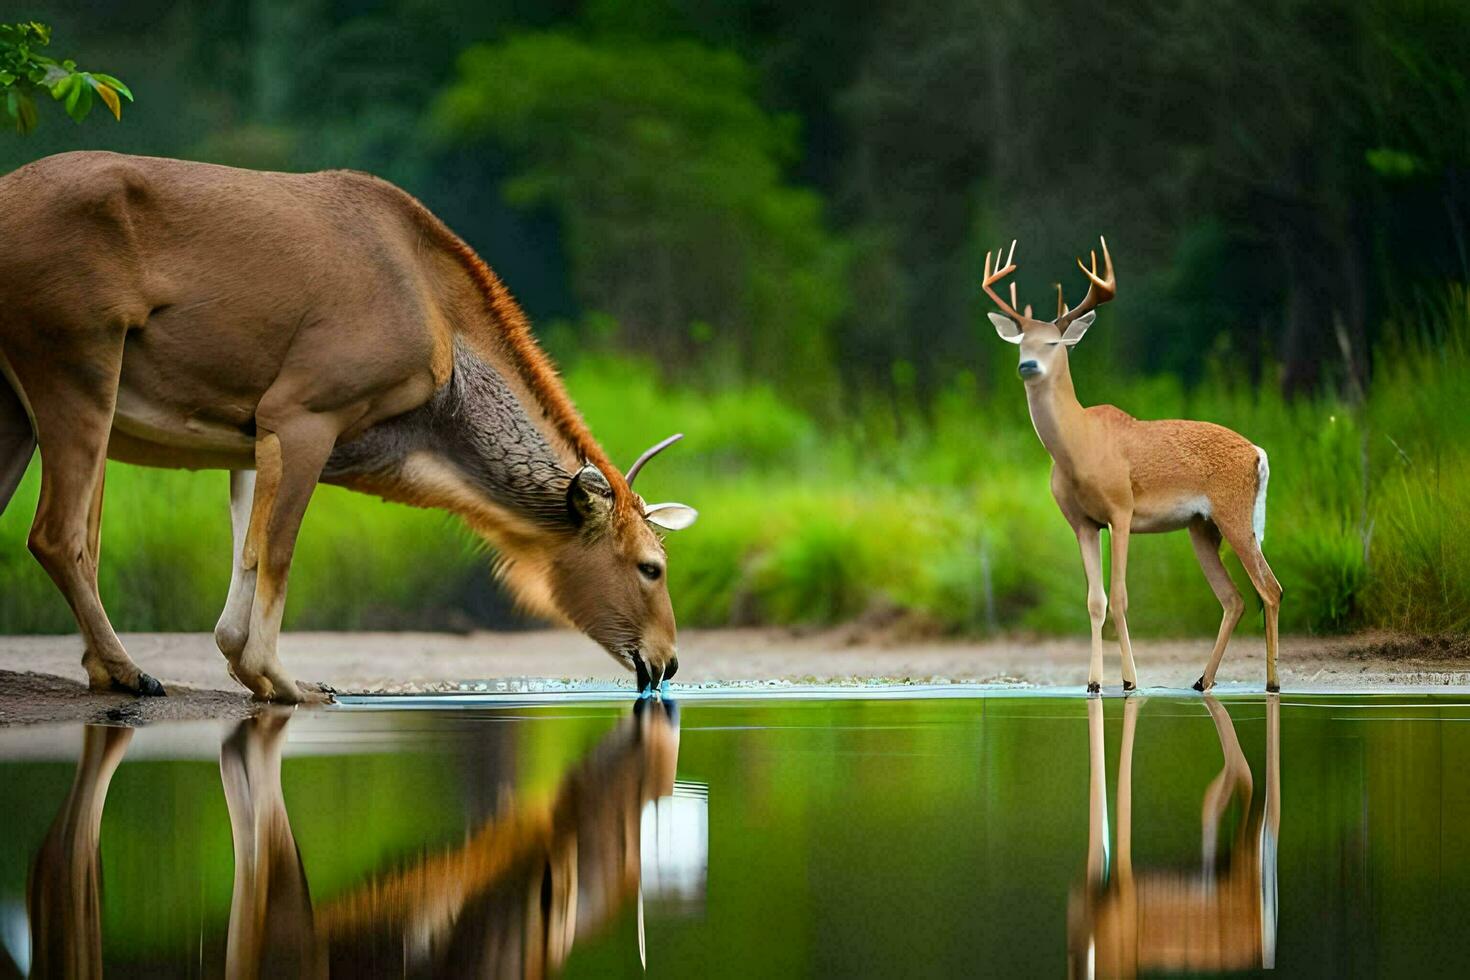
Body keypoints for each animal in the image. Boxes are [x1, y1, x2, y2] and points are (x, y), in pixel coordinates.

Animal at [0, 151, 696, 705]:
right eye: (651, 567)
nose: (667, 662)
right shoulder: (302, 411)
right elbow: (278, 553)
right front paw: (286, 680)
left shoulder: (247, 437)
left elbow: (244, 560)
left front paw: (252, 672)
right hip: (77, 364)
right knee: (57, 534)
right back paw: (126, 670)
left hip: (17, 409)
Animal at [981, 240, 1281, 693]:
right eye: (1021, 344)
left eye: (1053, 344)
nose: (1026, 366)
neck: (1081, 447)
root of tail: (1257, 453)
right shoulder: (1082, 522)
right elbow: (1095, 600)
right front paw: (1092, 683)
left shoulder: (1121, 510)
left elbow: (1120, 597)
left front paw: (1129, 681)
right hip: (1201, 526)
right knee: (1235, 598)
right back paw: (1201, 681)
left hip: (1234, 511)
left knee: (1269, 588)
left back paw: (1272, 683)